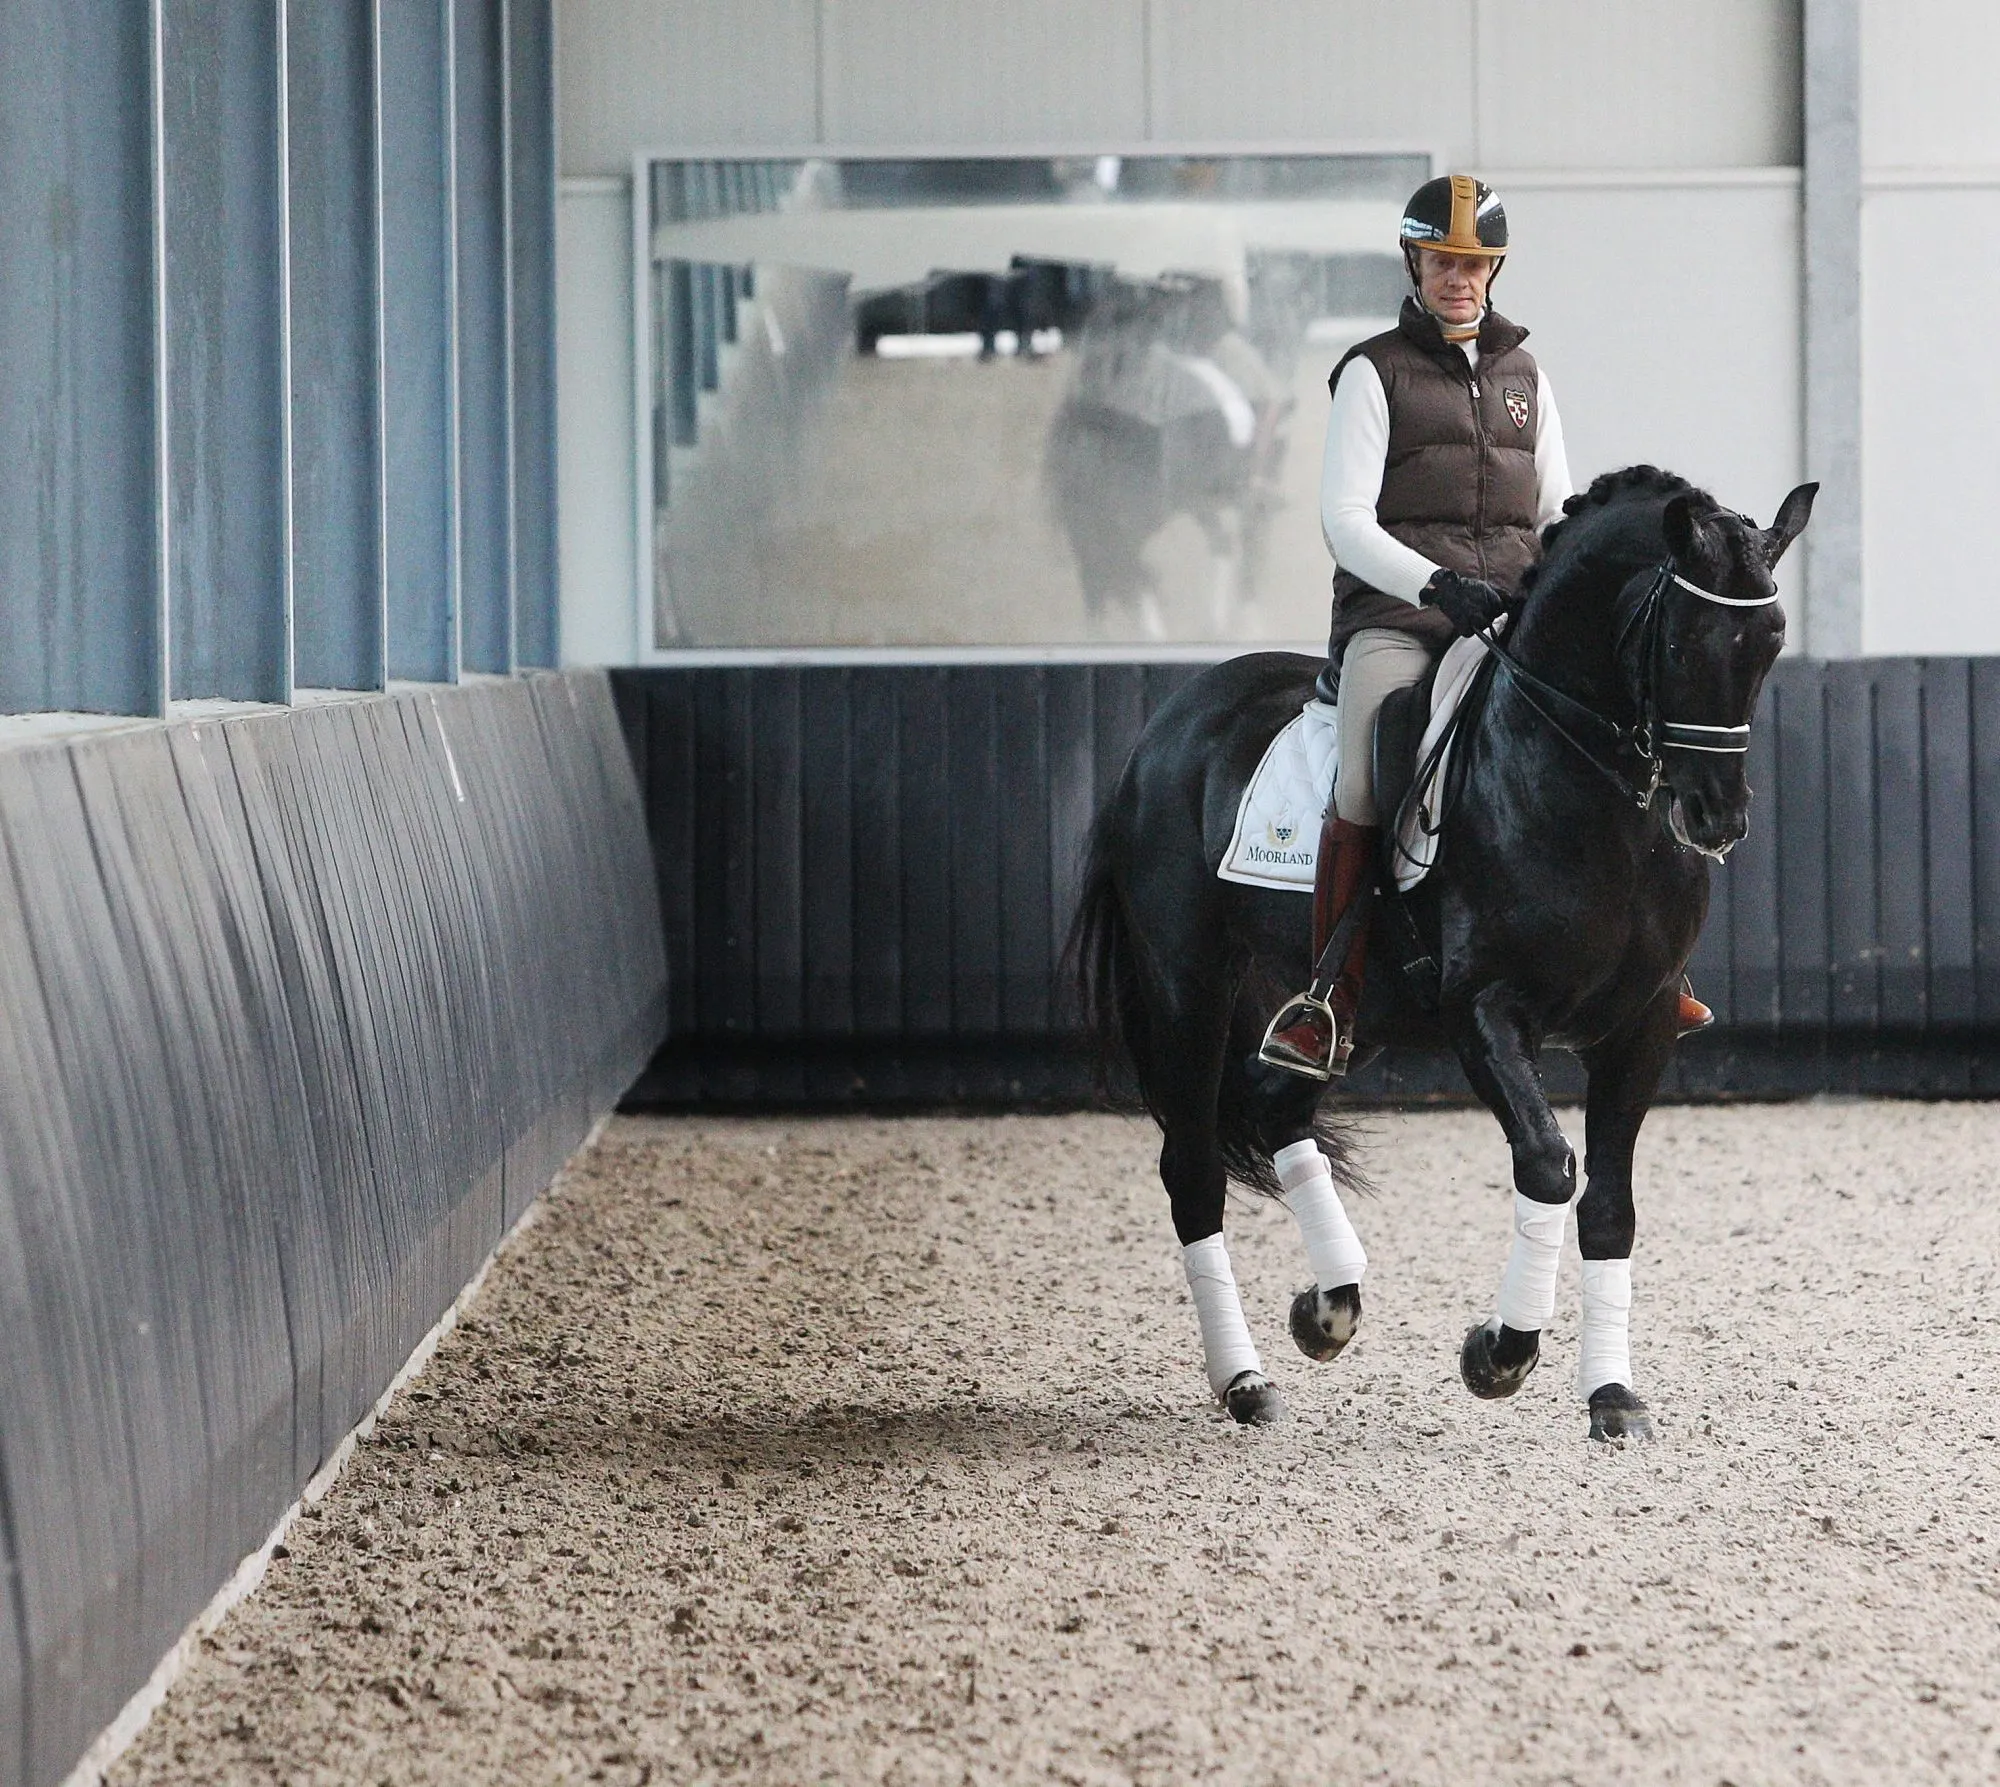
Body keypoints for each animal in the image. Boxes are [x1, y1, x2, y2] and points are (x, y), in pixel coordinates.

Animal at [1070, 466, 1816, 1441]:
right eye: (1685, 639)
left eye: (1771, 641)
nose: (1717, 817)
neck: (1591, 795)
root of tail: (1166, 727)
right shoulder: (1485, 1010)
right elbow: (1548, 1163)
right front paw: (1500, 1352)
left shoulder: (1643, 1024)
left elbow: (1610, 1206)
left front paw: (1613, 1398)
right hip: (1188, 987)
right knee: (1193, 1172)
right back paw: (1245, 1380)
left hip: (1358, 1011)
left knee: (1275, 1104)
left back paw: (1329, 1306)